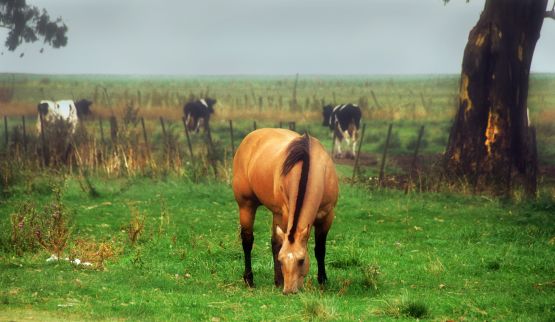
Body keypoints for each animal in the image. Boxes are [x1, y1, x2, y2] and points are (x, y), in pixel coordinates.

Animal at [231, 128, 338, 294]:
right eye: (281, 261)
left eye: (301, 260)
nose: (289, 291)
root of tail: (251, 136)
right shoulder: (287, 214)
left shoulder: (327, 216)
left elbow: (320, 249)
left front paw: (323, 281)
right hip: (246, 205)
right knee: (247, 241)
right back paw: (249, 279)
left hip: (277, 213)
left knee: (275, 242)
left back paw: (277, 281)